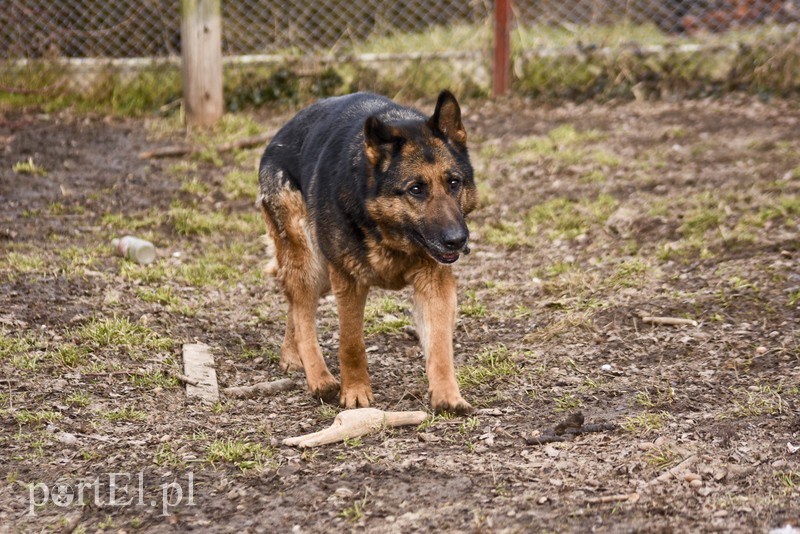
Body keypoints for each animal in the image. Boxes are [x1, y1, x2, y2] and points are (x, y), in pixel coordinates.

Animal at [260, 91, 478, 414]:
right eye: (416, 189)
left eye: (454, 182)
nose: (457, 241)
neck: (388, 235)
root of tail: (281, 133)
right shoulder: (349, 281)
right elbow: (351, 343)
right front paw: (355, 393)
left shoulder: (434, 282)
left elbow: (440, 344)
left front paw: (447, 396)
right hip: (311, 261)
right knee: (301, 308)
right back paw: (320, 378)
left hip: (322, 273)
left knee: (295, 302)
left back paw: (291, 355)